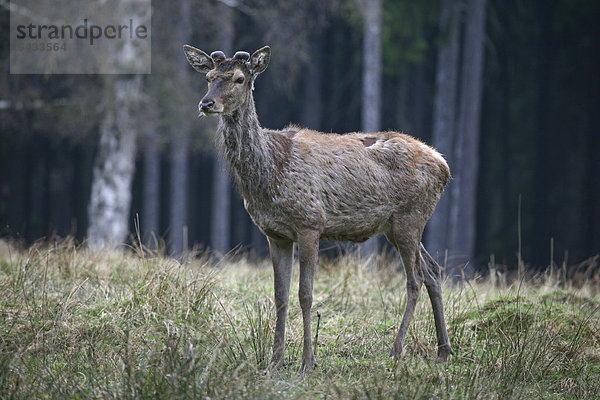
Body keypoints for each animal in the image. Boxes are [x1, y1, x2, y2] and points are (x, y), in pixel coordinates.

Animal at [183, 43, 454, 372]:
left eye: (238, 78)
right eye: (209, 77)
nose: (206, 103)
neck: (269, 173)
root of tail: (444, 166)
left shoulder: (310, 222)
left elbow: (306, 295)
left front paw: (307, 363)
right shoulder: (275, 234)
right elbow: (280, 295)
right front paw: (275, 361)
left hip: (409, 218)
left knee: (415, 279)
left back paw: (396, 349)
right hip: (397, 225)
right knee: (433, 270)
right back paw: (443, 351)